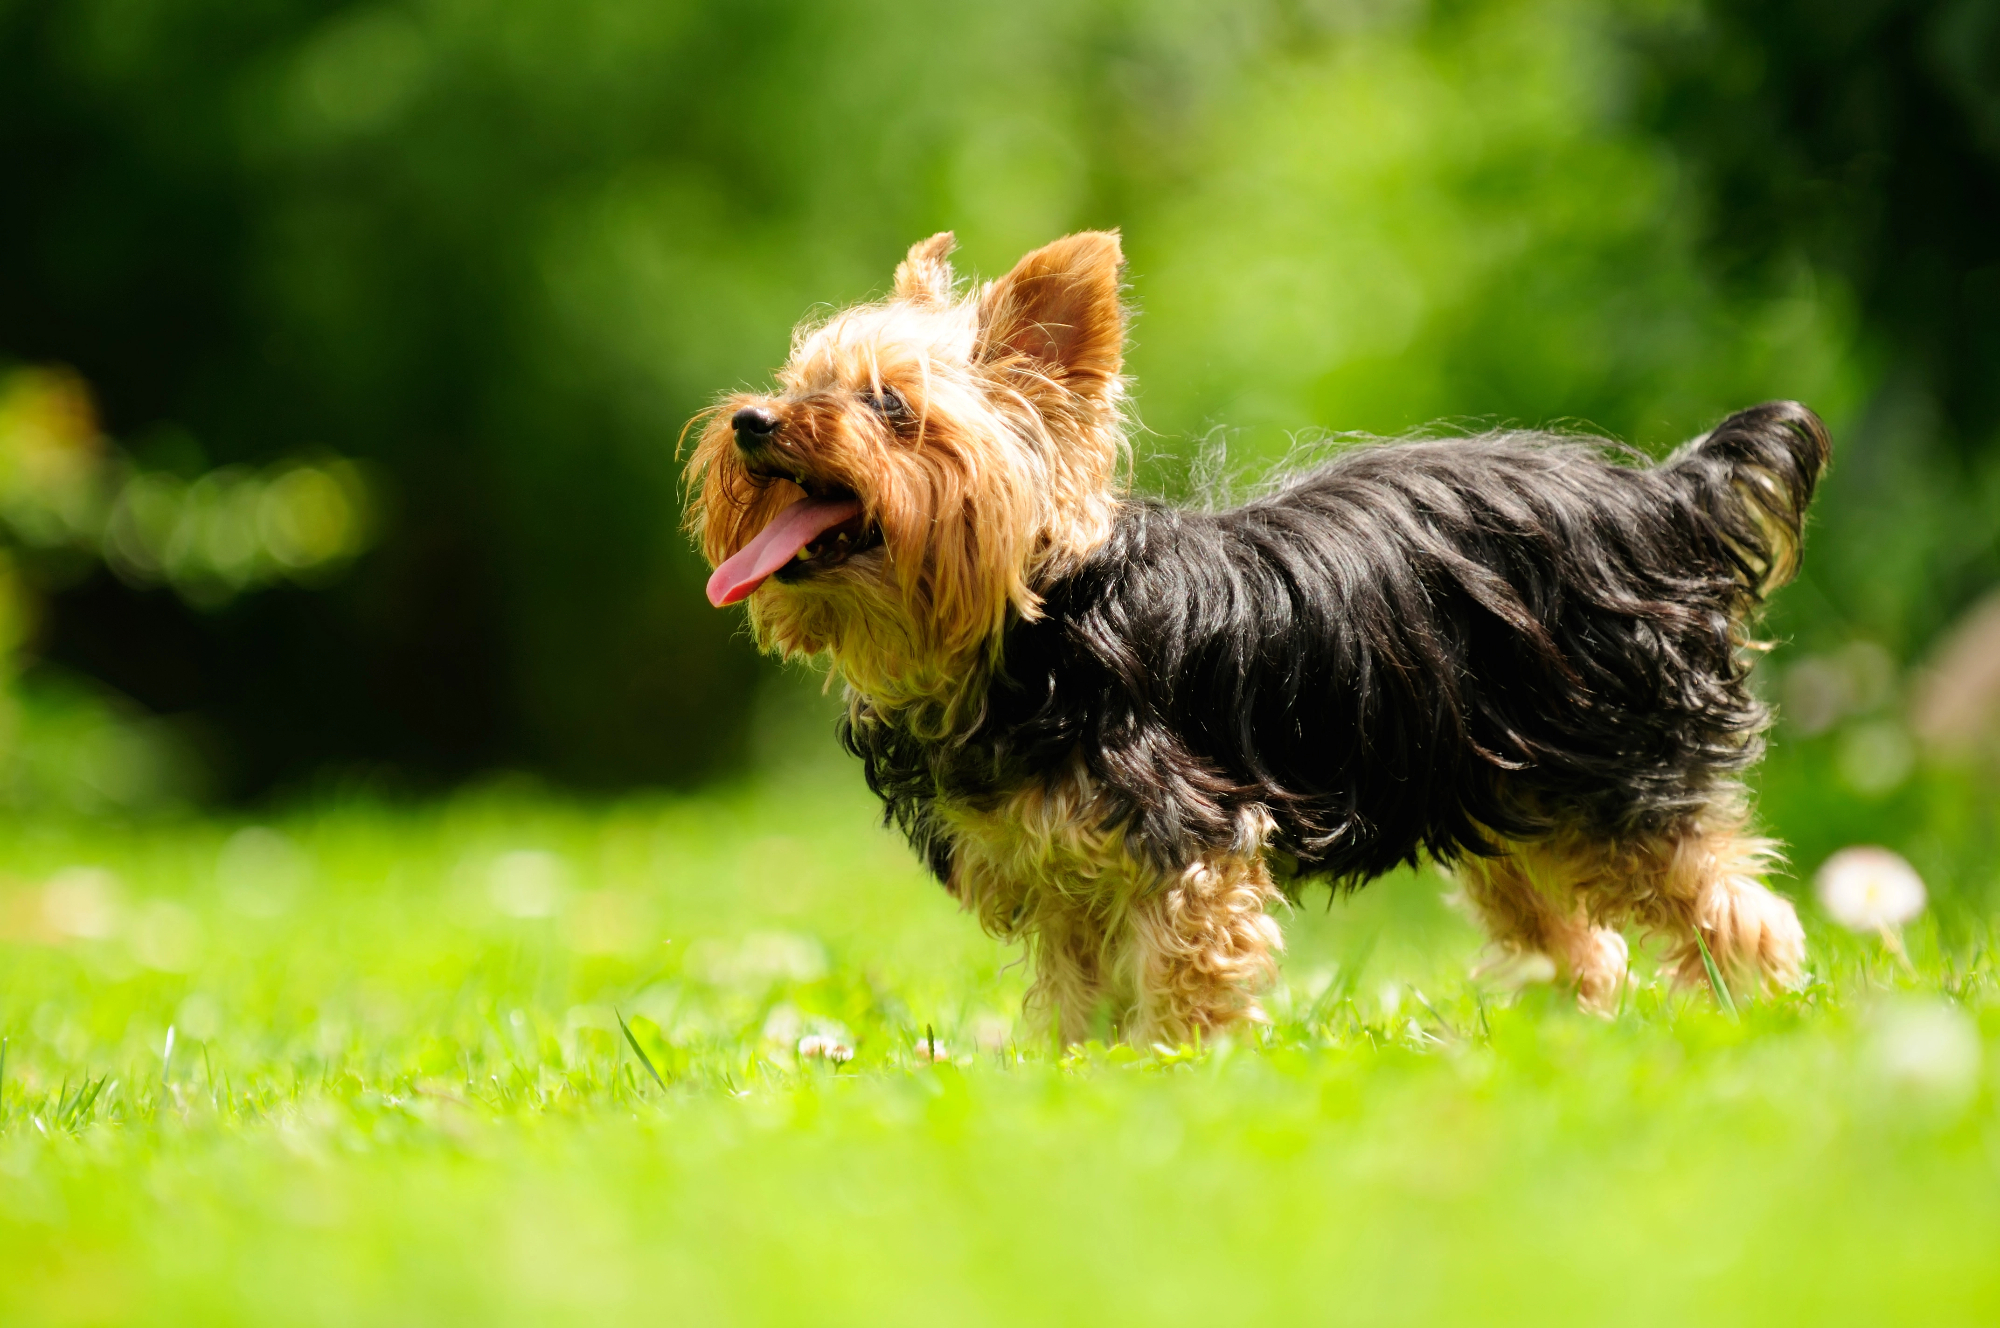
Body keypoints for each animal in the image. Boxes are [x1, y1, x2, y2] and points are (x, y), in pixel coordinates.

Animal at [688, 236, 1832, 1048]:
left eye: (889, 406)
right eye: (795, 380)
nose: (752, 421)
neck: (1029, 629)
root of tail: (1660, 497)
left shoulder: (1191, 843)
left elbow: (1185, 978)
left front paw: (1174, 1072)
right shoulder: (1062, 879)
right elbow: (1073, 999)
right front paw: (1071, 1079)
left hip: (1618, 773)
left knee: (1737, 913)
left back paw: (1762, 1020)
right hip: (1504, 794)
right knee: (1578, 946)